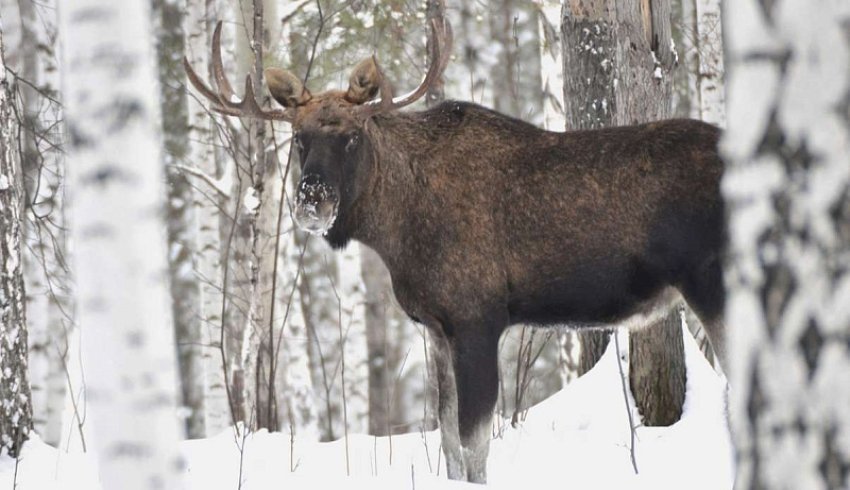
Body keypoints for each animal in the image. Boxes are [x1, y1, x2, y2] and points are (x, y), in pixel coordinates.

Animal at [184, 9, 724, 484]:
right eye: (299, 137)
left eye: (353, 137)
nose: (312, 202)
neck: (396, 232)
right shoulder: (437, 326)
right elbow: (446, 439)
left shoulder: (477, 319)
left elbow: (473, 442)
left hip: (712, 283)